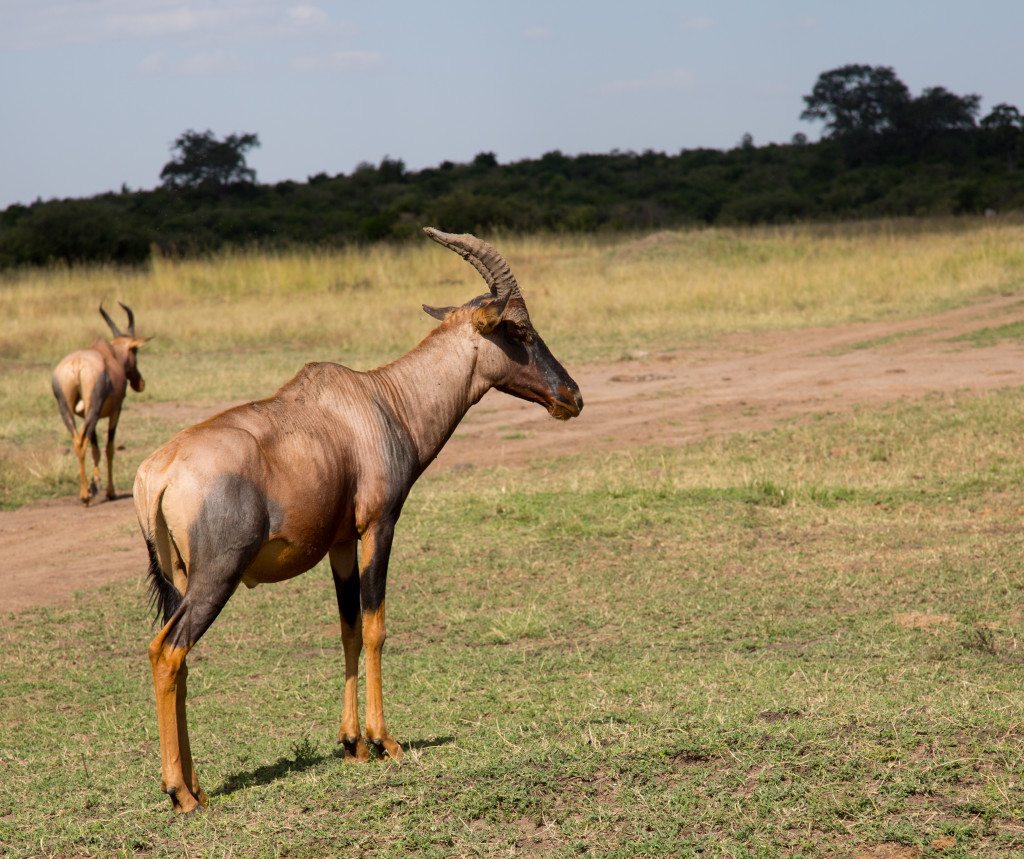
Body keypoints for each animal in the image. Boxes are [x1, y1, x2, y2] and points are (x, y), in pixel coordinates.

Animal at [53, 303, 147, 503]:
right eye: (135, 350)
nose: (140, 383)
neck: (109, 353)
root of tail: (77, 364)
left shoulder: (85, 415)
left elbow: (95, 448)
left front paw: (96, 483)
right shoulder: (116, 411)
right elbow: (109, 448)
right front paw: (109, 491)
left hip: (69, 410)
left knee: (77, 441)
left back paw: (85, 492)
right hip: (94, 410)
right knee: (83, 442)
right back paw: (85, 496)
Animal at [134, 226, 585, 814]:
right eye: (519, 328)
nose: (572, 397)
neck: (376, 401)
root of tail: (157, 472)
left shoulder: (341, 543)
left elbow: (348, 627)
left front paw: (352, 745)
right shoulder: (379, 526)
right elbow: (375, 626)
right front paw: (384, 741)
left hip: (182, 579)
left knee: (180, 659)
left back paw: (198, 787)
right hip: (217, 576)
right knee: (167, 651)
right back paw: (179, 794)